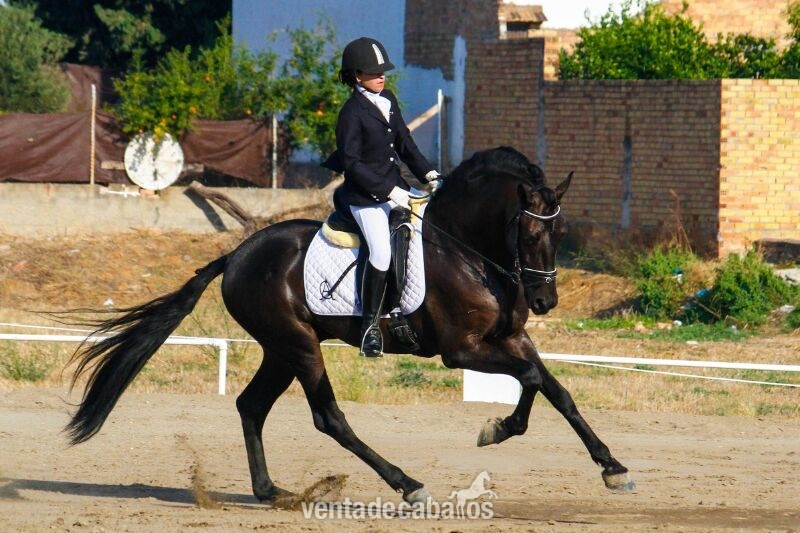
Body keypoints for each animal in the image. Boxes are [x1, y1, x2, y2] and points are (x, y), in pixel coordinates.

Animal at [64, 146, 635, 505]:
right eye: (529, 232)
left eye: (561, 231)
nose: (544, 299)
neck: (470, 253)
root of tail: (237, 254)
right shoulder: (463, 350)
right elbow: (534, 379)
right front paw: (498, 429)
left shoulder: (512, 338)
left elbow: (556, 390)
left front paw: (611, 467)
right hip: (299, 346)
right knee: (329, 418)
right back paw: (406, 484)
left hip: (282, 349)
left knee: (251, 406)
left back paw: (270, 492)